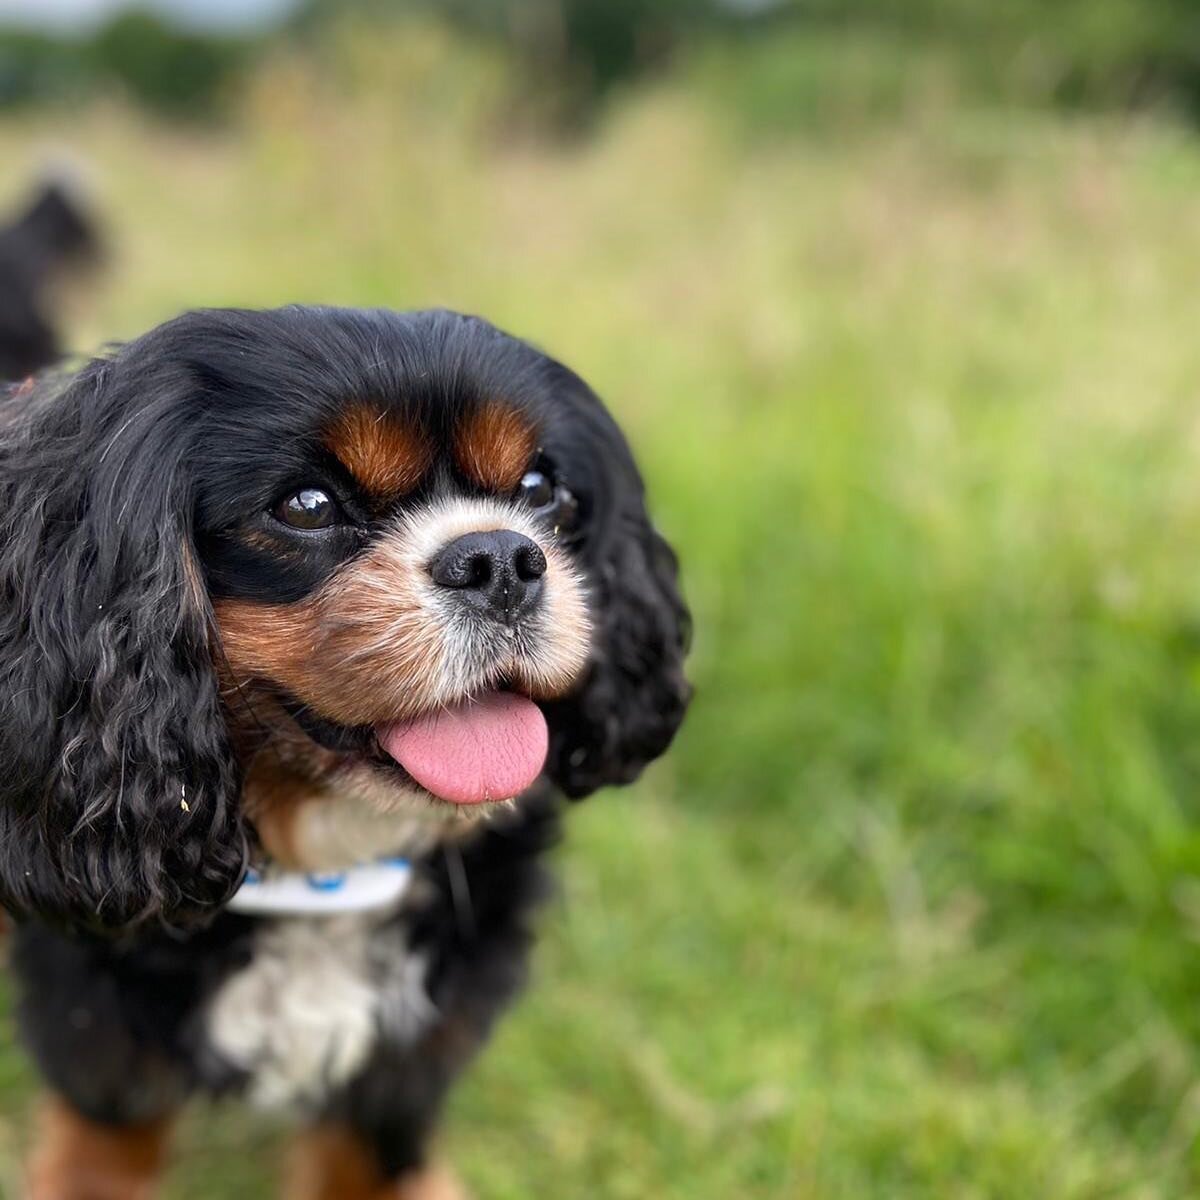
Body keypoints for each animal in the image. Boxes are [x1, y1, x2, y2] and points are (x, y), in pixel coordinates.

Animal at [0, 304, 696, 1195]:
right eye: (307, 505)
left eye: (541, 490)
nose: (499, 559)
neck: (327, 870)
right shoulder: (96, 1018)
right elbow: (106, 1138)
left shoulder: (408, 1055)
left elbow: (370, 1148)